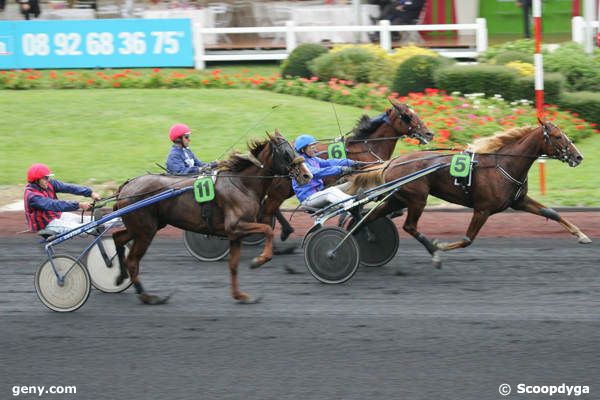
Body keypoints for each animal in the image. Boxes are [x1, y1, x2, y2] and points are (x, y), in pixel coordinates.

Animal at [111, 131, 314, 304]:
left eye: (293, 149)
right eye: (285, 153)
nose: (307, 175)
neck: (242, 184)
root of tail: (126, 186)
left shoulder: (235, 235)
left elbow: (233, 265)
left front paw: (240, 295)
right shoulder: (236, 226)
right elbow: (267, 230)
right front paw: (259, 260)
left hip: (146, 227)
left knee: (117, 238)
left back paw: (120, 277)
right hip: (145, 231)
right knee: (132, 261)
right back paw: (148, 297)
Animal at [266, 99, 432, 241]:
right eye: (408, 116)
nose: (429, 133)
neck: (368, 147)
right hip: (282, 190)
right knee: (270, 206)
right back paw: (282, 232)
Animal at [350, 119, 588, 268]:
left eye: (564, 134)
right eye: (557, 136)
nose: (578, 157)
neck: (503, 164)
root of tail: (392, 162)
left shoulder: (518, 201)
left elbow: (552, 213)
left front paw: (582, 235)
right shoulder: (483, 209)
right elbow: (467, 239)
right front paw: (441, 247)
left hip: (397, 199)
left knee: (368, 218)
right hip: (417, 199)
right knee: (409, 226)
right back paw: (433, 252)